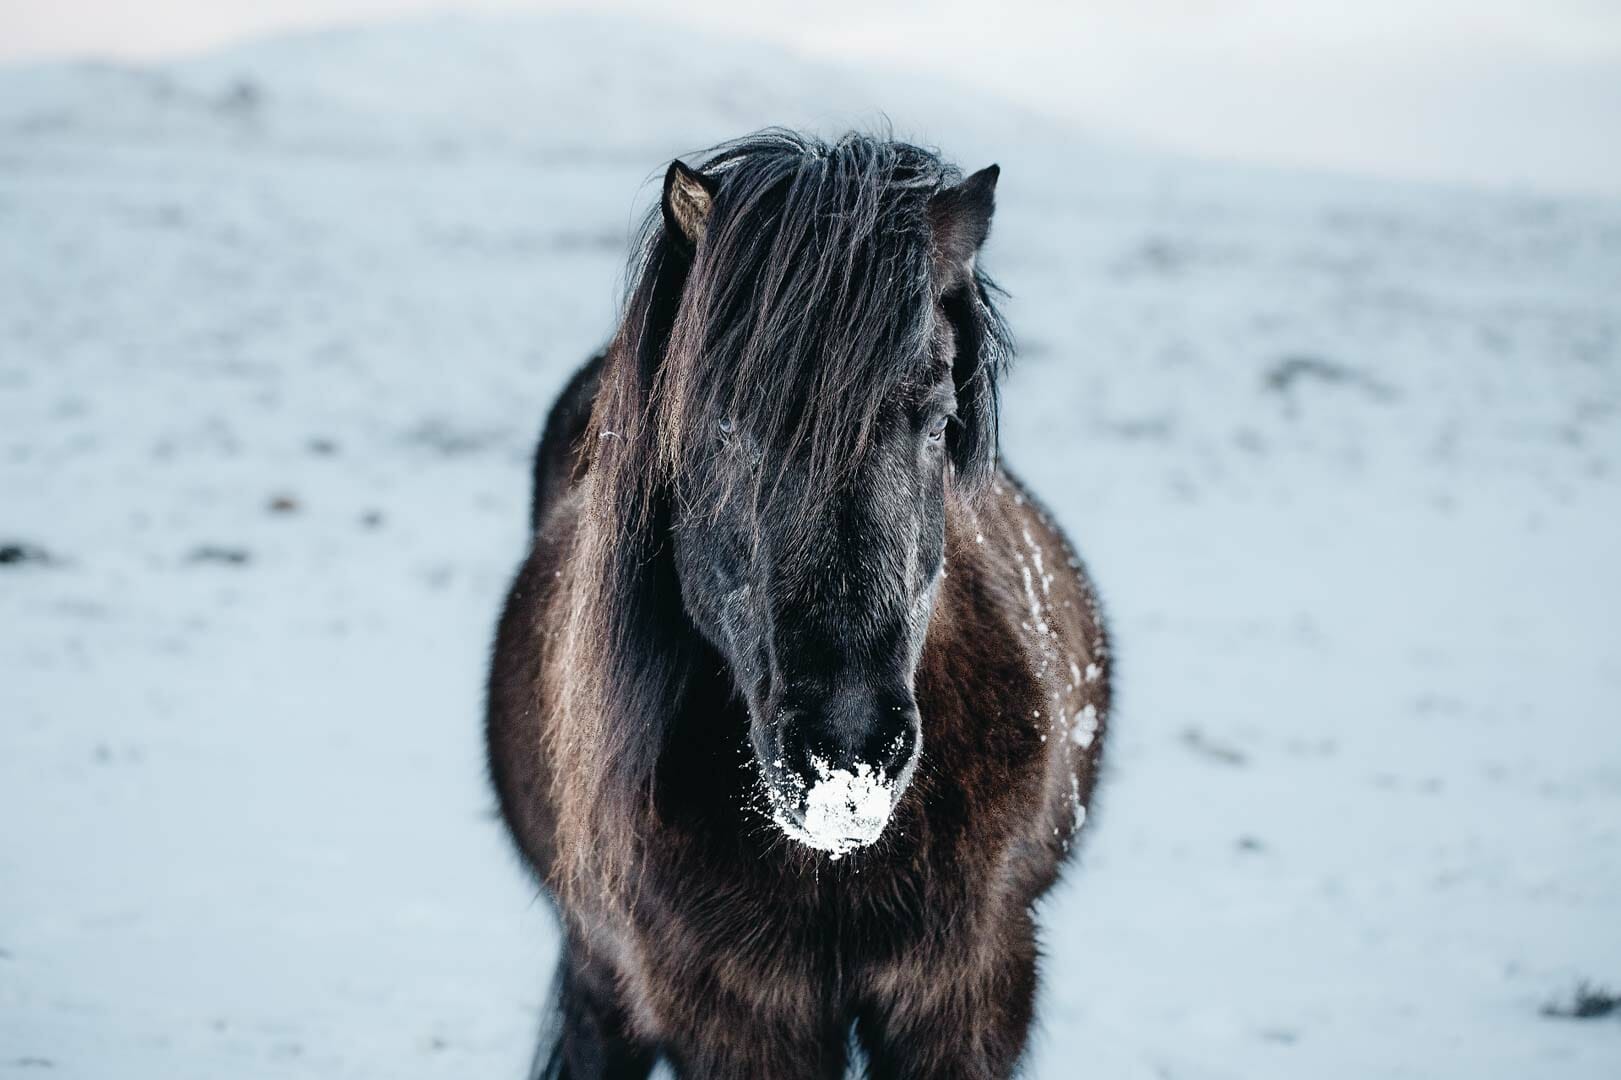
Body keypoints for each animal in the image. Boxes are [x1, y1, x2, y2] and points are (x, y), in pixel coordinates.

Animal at [486, 130, 1108, 1070]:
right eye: (723, 427)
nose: (846, 755)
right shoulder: (735, 1012)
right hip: (601, 972)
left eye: (937, 419)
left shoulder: (970, 987)